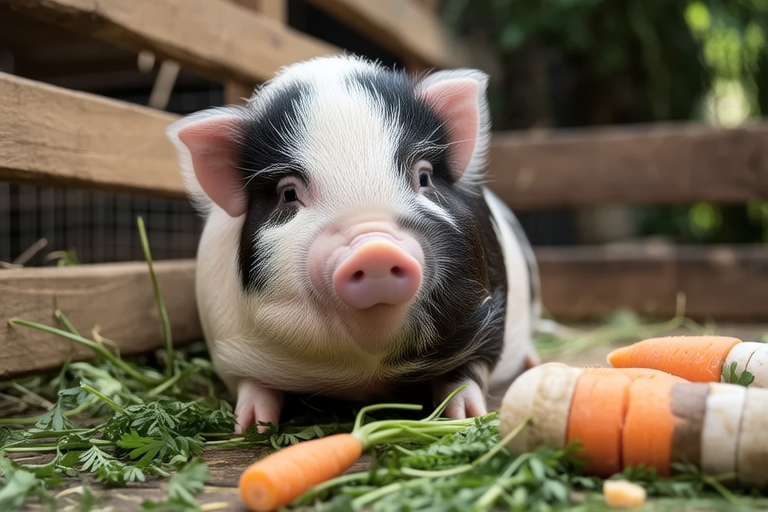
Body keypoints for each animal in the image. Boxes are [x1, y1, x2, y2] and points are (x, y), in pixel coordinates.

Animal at [167, 55, 540, 433]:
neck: (368, 372)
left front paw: (469, 418)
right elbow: (252, 384)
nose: (375, 249)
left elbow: (467, 372)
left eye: (423, 176)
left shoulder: (489, 312)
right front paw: (252, 426)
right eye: (288, 193)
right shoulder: (225, 340)